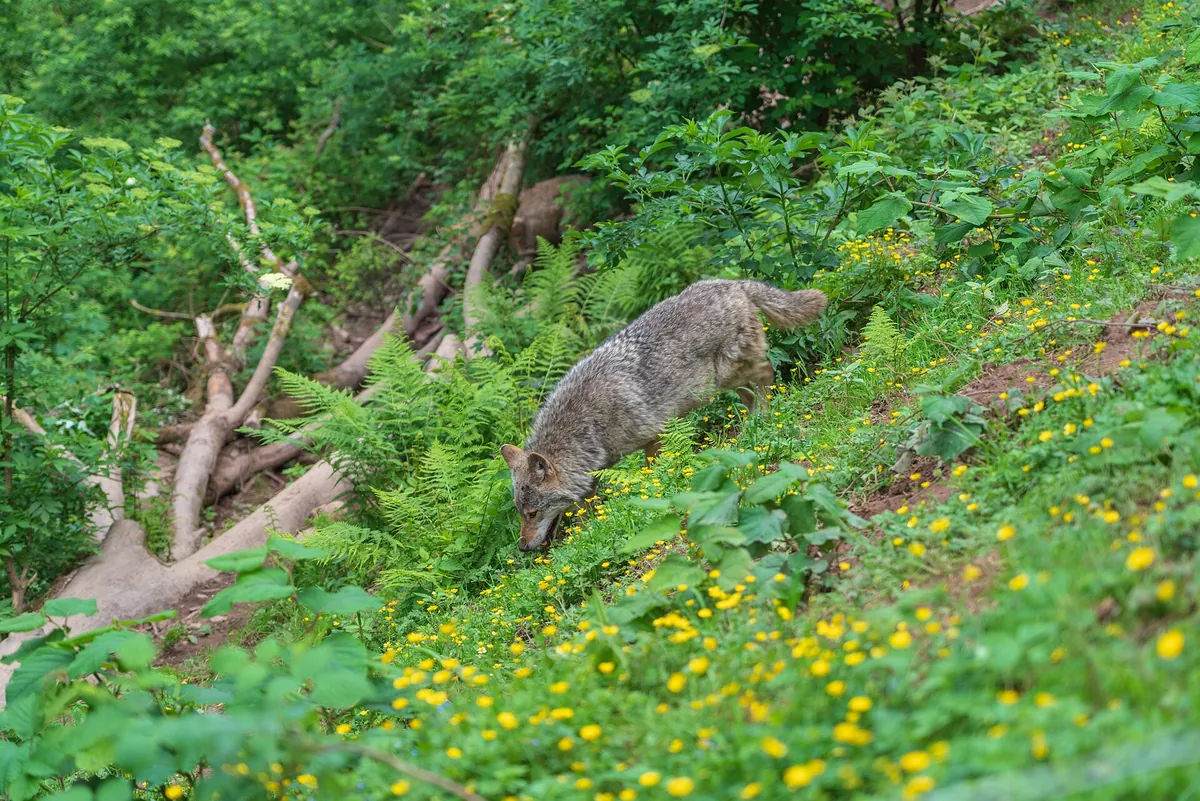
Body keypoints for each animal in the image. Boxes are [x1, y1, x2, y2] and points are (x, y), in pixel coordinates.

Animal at [500, 279, 827, 551]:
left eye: (533, 513)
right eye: (521, 513)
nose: (523, 547)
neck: (587, 426)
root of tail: (733, 282)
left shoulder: (655, 435)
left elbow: (651, 472)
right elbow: (587, 506)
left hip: (727, 376)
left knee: (767, 375)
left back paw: (764, 418)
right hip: (726, 383)